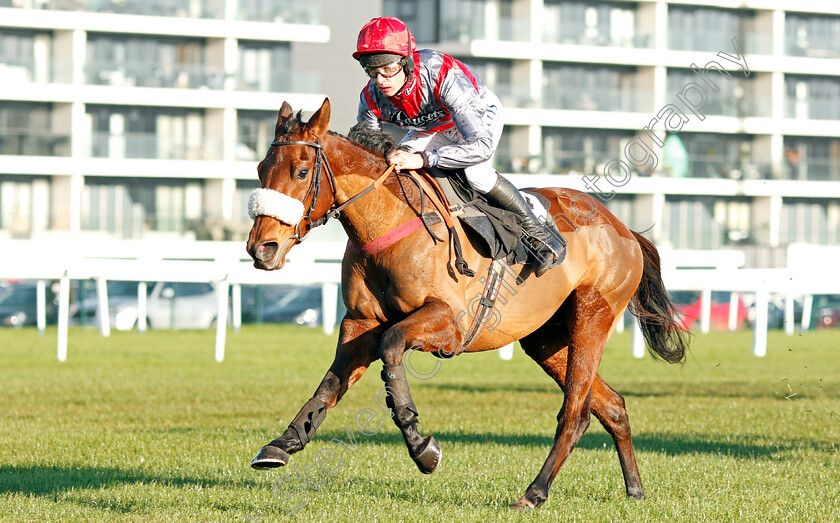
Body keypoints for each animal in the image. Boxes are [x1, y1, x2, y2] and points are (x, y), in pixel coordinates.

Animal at [244, 98, 688, 512]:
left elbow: (391, 346)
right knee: (611, 405)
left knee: (576, 413)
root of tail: (623, 228)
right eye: (261, 169)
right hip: (546, 340)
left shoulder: (449, 325)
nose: (261, 248)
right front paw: (283, 443)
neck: (389, 227)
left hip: (592, 316)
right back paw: (634, 489)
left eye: (302, 172)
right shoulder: (359, 323)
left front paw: (421, 446)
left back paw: (533, 493)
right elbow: (330, 384)